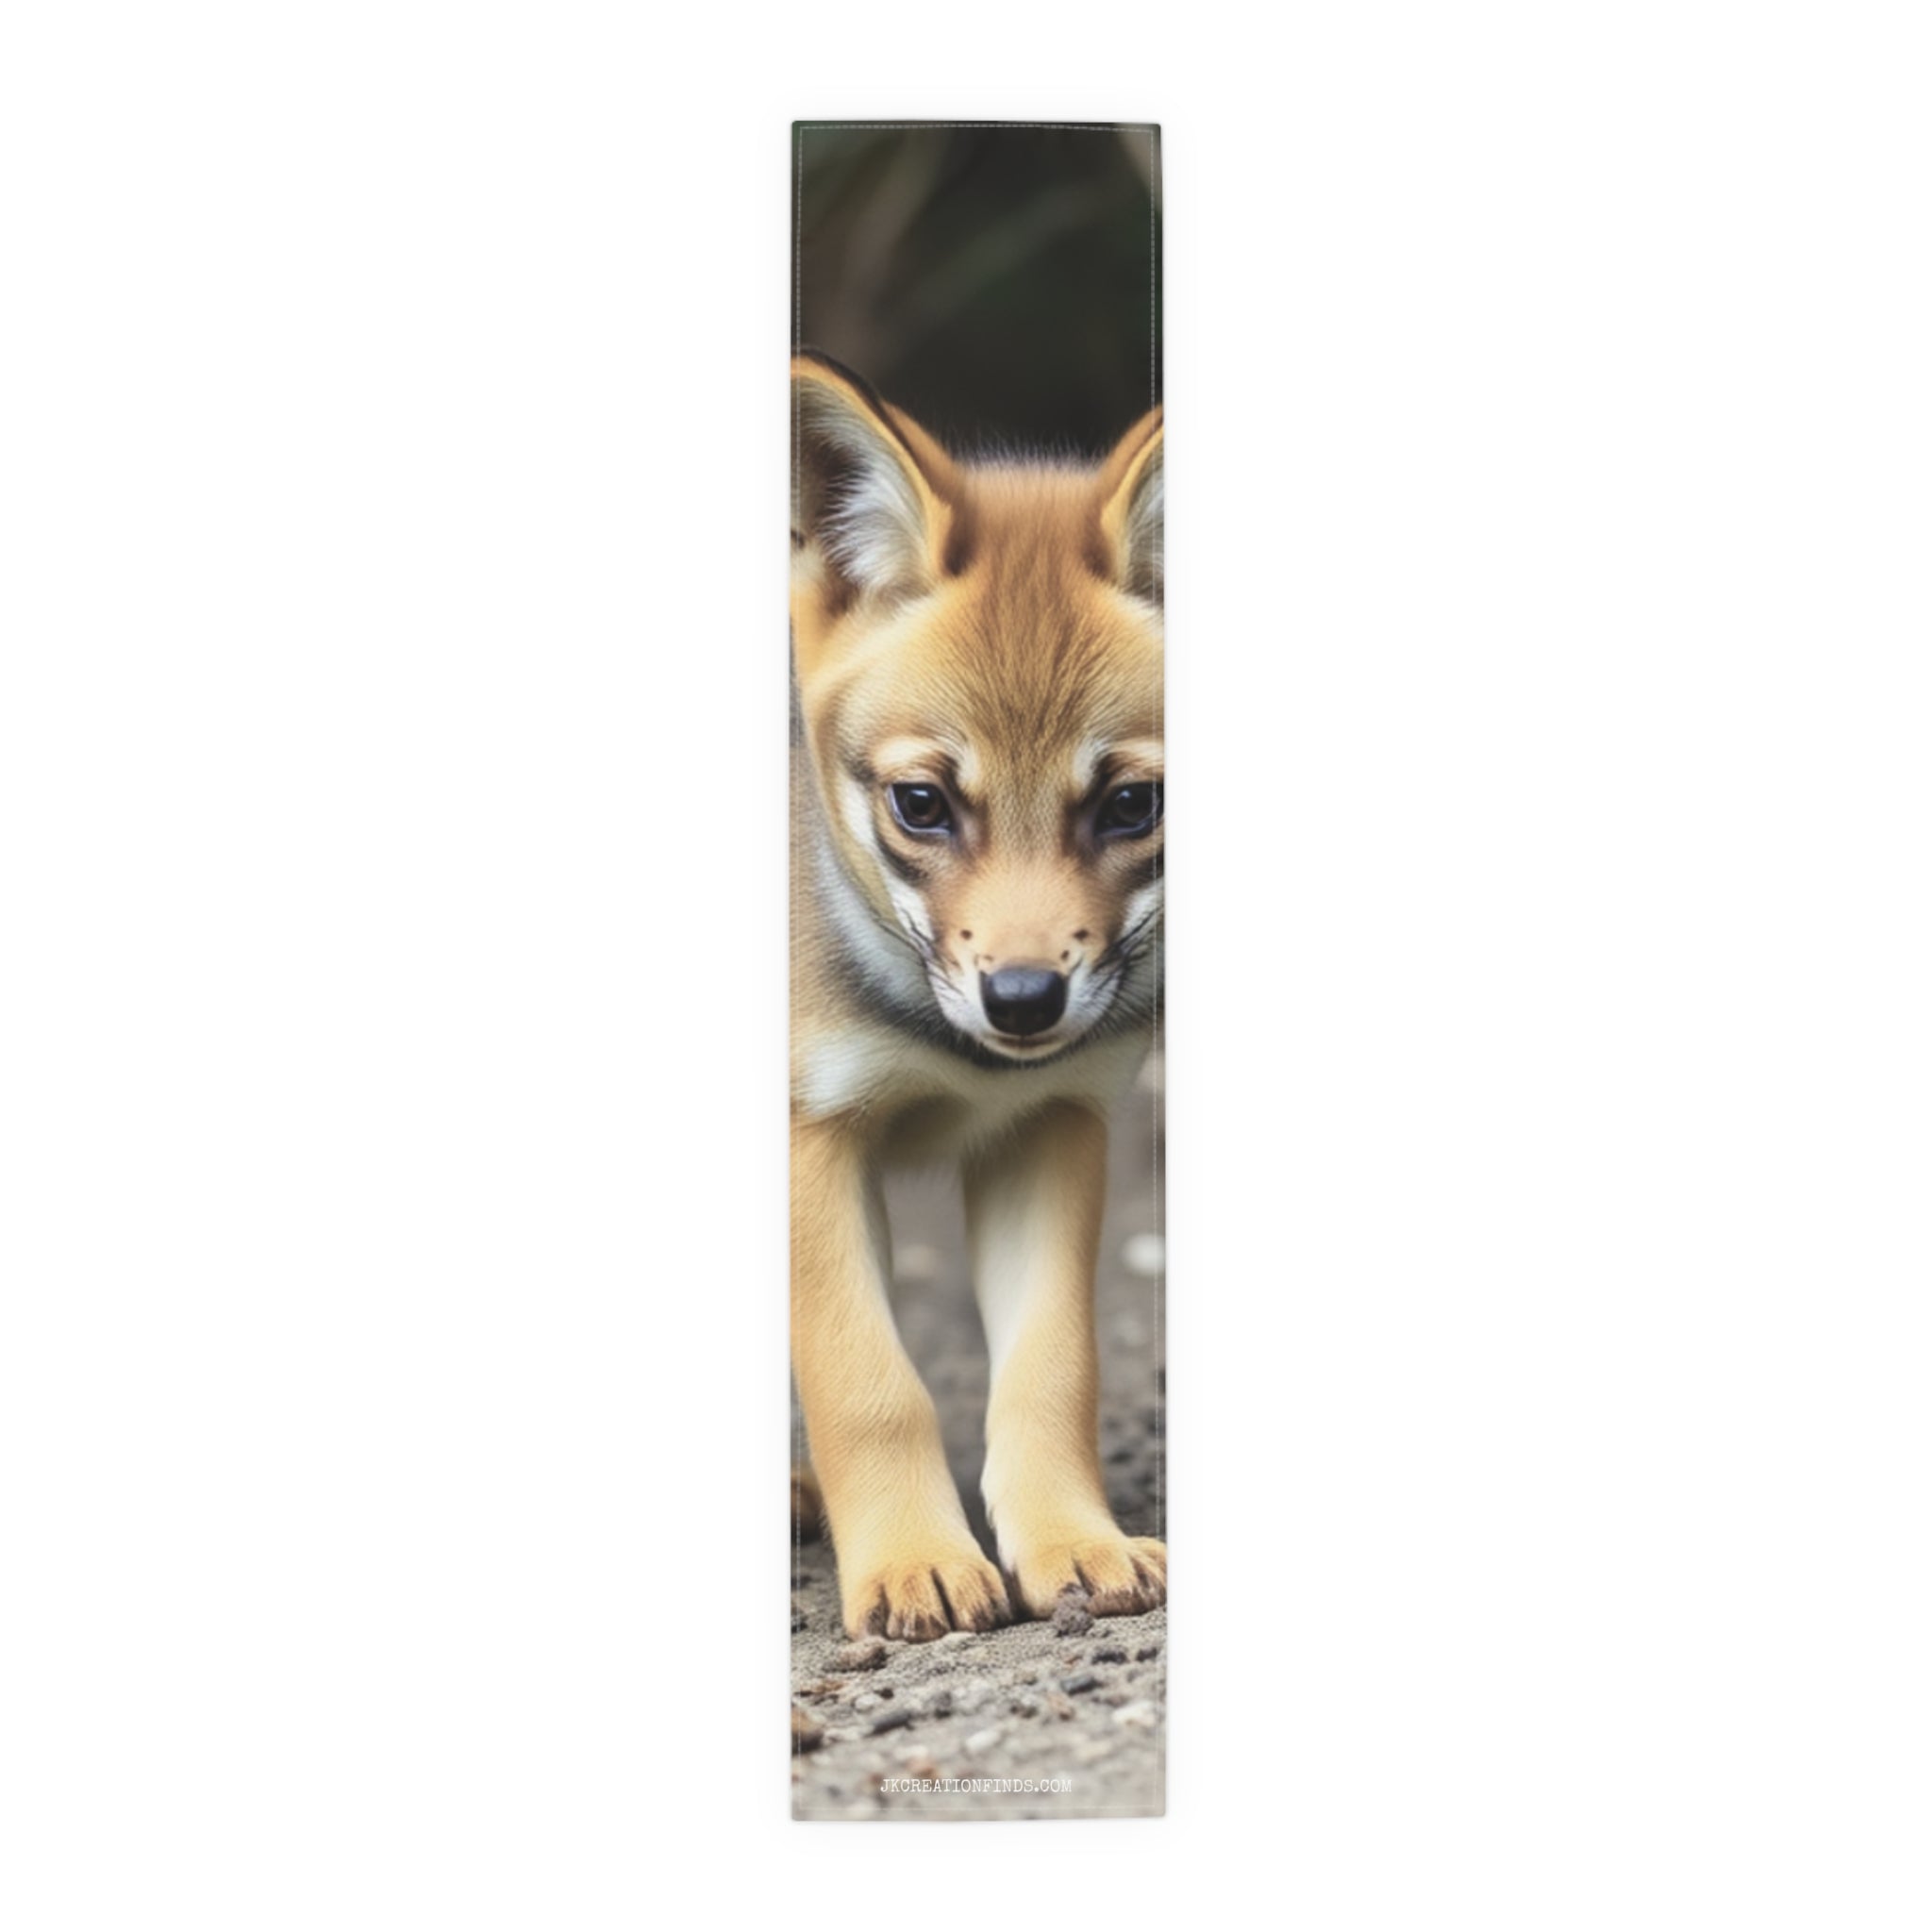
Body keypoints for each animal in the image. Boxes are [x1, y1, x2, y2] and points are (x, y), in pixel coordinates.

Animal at [790, 351, 1165, 1642]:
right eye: (921, 803)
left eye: (1129, 805)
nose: (1020, 1000)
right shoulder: (812, 1136)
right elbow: (869, 1381)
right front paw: (912, 1556)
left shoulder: (1049, 1124)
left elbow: (1049, 1370)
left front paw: (1070, 1540)